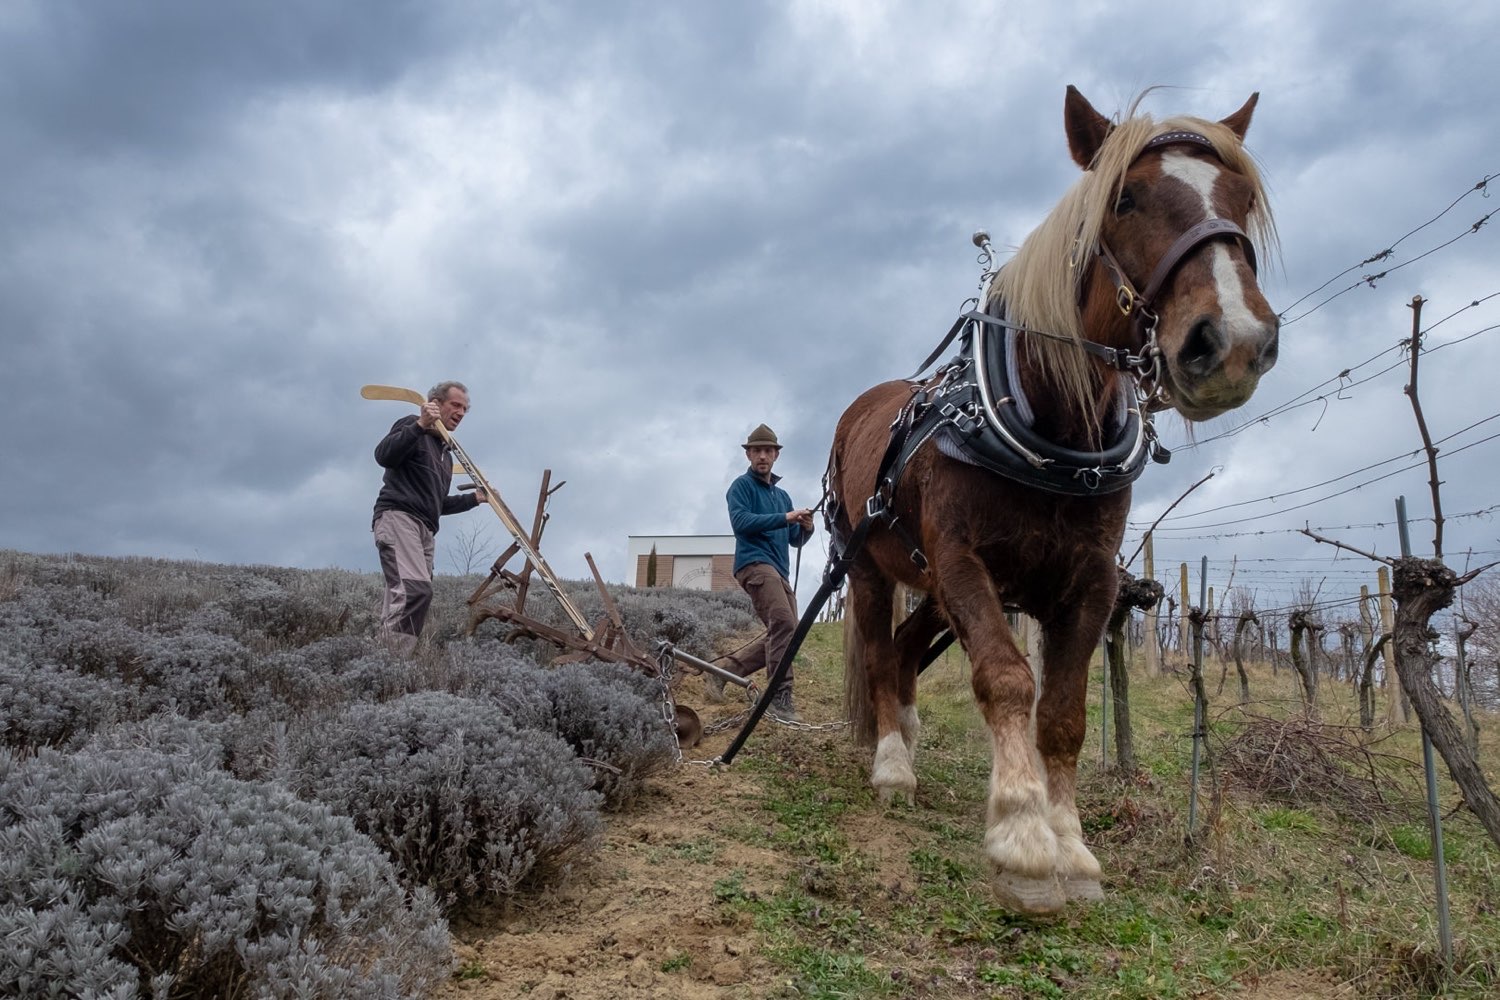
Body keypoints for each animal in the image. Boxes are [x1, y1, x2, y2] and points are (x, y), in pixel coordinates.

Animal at [827, 86, 1279, 916]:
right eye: (1125, 200)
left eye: (1242, 198)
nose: (1232, 342)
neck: (1047, 425)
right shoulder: (963, 561)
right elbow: (1007, 679)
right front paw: (1021, 837)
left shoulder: (1088, 581)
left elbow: (1064, 711)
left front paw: (1071, 845)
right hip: (873, 568)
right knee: (877, 652)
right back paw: (892, 763)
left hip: (931, 588)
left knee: (903, 653)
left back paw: (908, 732)